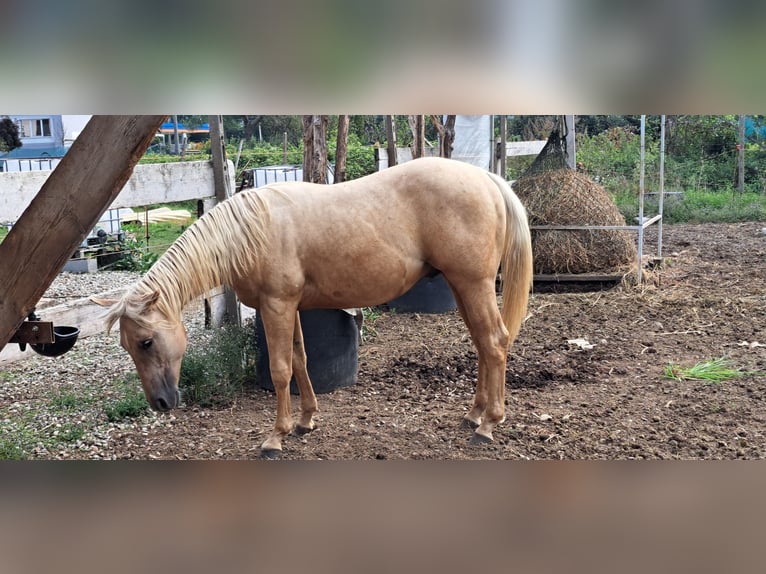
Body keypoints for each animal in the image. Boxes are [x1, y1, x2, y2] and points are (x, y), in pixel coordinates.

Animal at [93, 156, 532, 460]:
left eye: (146, 342)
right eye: (128, 346)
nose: (161, 403)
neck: (248, 232)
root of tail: (486, 179)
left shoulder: (277, 306)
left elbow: (280, 369)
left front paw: (276, 436)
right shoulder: (290, 308)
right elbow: (301, 359)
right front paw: (305, 421)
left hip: (472, 284)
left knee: (494, 342)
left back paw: (488, 425)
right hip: (462, 286)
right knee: (482, 345)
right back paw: (474, 414)